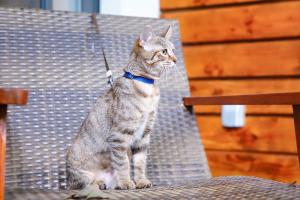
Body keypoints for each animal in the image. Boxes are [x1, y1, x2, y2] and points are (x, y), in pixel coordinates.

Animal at [67, 25, 177, 191]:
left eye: (173, 50)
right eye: (164, 52)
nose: (176, 60)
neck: (147, 88)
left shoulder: (144, 135)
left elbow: (139, 163)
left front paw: (141, 181)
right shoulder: (119, 135)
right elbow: (123, 163)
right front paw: (126, 182)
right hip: (78, 172)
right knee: (82, 184)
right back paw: (98, 183)